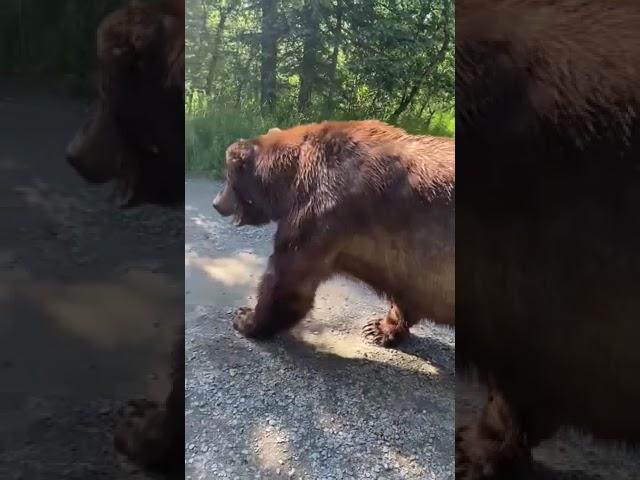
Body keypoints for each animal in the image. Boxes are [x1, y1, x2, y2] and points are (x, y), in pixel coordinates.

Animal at [212, 119, 452, 344]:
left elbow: (288, 279)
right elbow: (406, 296)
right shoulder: (409, 267)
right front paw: (378, 328)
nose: (216, 203)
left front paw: (246, 318)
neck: (293, 177)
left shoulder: (322, 212)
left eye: (228, 177)